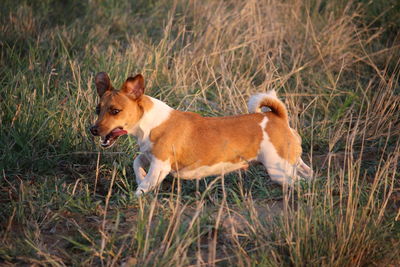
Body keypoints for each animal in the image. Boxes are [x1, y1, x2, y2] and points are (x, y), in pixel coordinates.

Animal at [90, 72, 312, 196]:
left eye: (115, 111)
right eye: (97, 110)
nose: (93, 130)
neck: (150, 122)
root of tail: (277, 117)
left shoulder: (160, 165)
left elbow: (144, 185)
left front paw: (140, 190)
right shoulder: (149, 156)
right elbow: (136, 163)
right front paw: (140, 177)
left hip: (278, 170)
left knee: (299, 183)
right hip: (290, 163)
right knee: (307, 174)